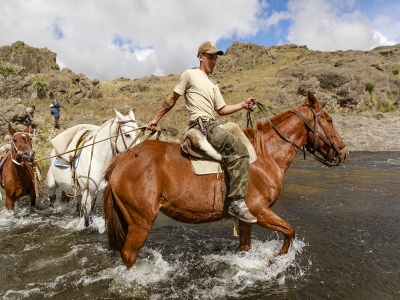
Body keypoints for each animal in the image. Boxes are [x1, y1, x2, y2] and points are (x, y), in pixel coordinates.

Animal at [104, 91, 350, 268]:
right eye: (329, 120)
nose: (344, 152)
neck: (266, 155)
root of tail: (123, 158)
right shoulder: (260, 211)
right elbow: (290, 231)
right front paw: (274, 260)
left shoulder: (248, 218)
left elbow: (246, 247)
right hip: (141, 221)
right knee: (129, 254)